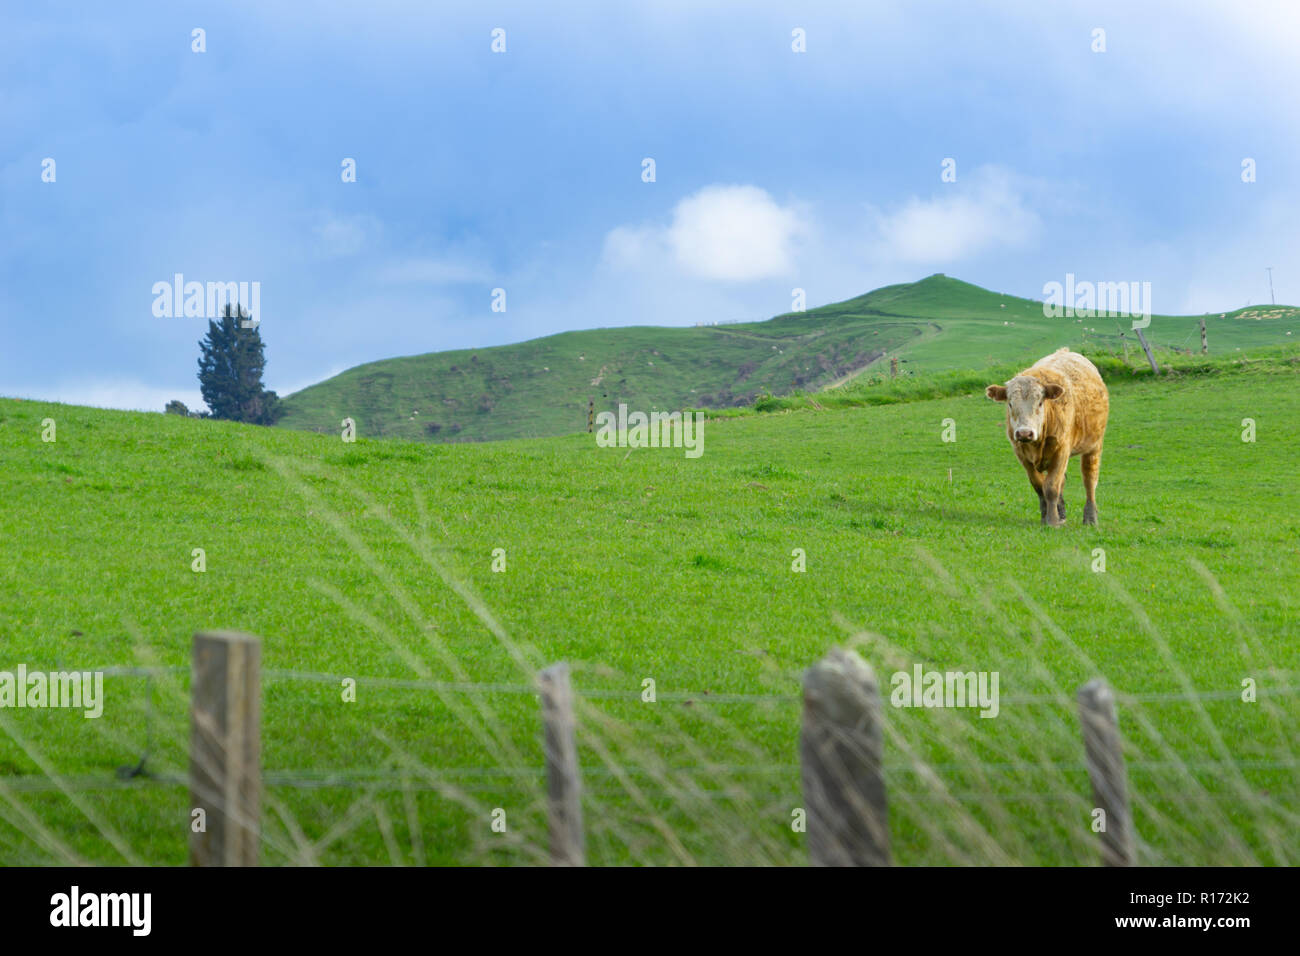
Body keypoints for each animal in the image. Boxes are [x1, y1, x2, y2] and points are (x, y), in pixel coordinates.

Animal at [985, 348, 1109, 527]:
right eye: (1010, 404)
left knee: (1090, 480)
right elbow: (1039, 486)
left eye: (1040, 403)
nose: (1024, 433)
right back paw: (1062, 513)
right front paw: (1046, 516)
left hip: (1094, 445)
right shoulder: (1022, 455)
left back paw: (1090, 518)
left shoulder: (1062, 451)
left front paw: (1052, 521)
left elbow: (1051, 487)